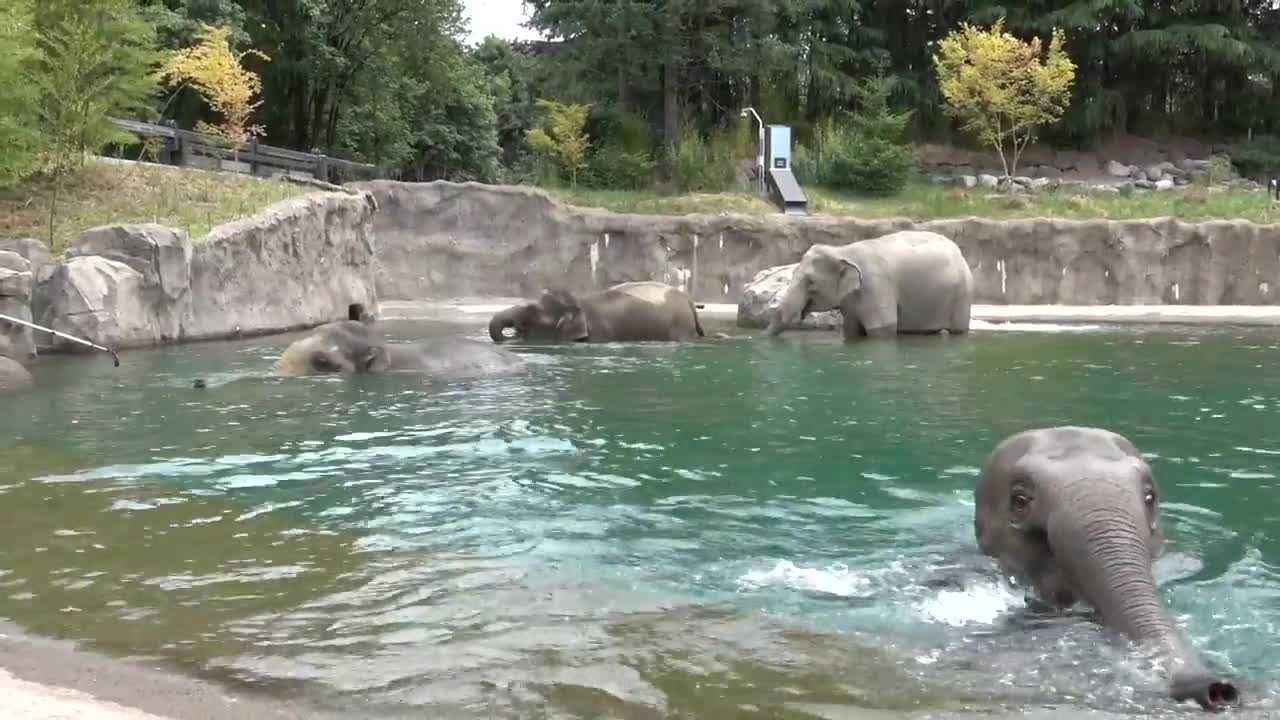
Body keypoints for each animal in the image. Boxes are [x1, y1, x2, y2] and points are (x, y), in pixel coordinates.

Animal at [757, 230, 967, 340]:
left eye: (810, 282)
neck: (842, 250)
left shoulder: (877, 285)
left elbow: (882, 328)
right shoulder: (850, 299)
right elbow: (852, 329)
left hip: (962, 293)